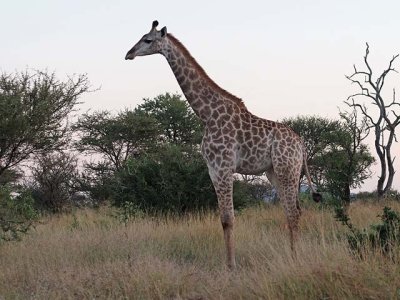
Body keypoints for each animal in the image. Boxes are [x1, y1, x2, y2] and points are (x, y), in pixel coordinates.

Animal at [125, 21, 322, 270]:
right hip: (275, 172)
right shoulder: (212, 169)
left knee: (293, 212)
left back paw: (294, 259)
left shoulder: (223, 166)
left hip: (287, 169)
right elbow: (223, 218)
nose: (128, 54)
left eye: (147, 40)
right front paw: (229, 263)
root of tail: (301, 145)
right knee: (293, 210)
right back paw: (291, 254)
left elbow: (228, 219)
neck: (206, 114)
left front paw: (231, 266)